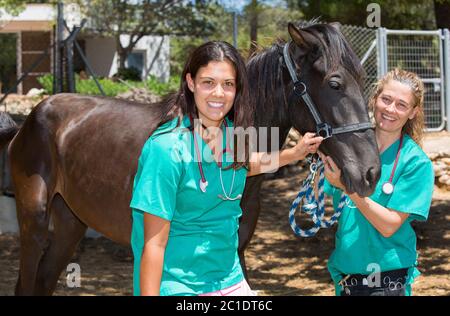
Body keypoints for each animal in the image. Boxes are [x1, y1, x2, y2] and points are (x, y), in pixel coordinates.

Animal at [0, 22, 380, 296]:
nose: (371, 172)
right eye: (334, 83)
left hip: (70, 222)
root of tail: (31, 118)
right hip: (34, 221)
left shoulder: (236, 249)